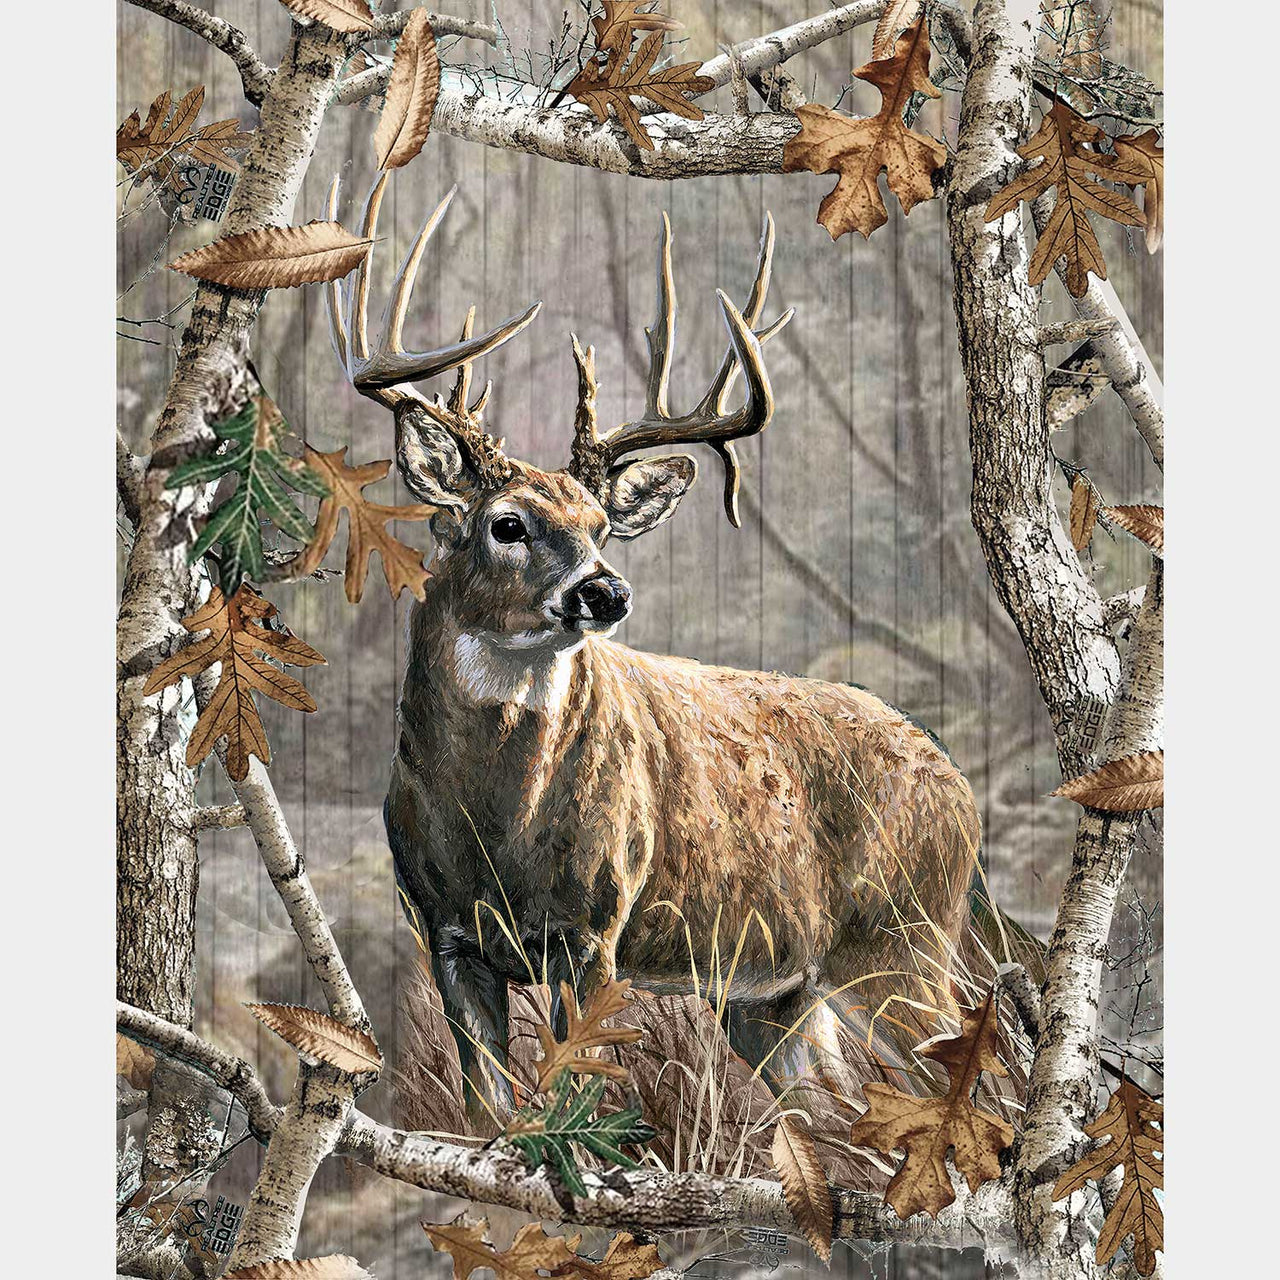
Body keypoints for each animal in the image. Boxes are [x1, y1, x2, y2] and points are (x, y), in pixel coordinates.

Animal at [326, 175, 985, 1118]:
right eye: (506, 523)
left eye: (601, 526)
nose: (606, 591)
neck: (494, 828)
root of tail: (960, 786)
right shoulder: (446, 937)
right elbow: (491, 1116)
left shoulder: (596, 927)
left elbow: (577, 1098)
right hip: (779, 994)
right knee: (831, 1109)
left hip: (905, 939)